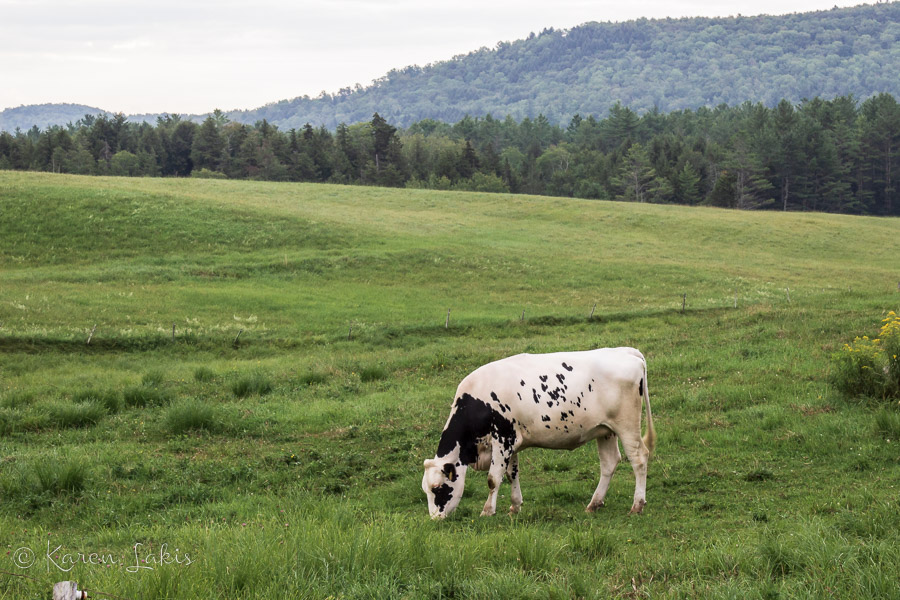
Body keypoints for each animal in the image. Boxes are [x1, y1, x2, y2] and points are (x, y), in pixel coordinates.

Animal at [422, 350, 652, 516]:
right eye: (425, 490)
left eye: (437, 488)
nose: (435, 519)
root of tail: (625, 351)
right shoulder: (512, 443)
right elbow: (511, 474)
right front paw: (515, 506)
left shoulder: (503, 440)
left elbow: (493, 479)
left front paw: (487, 511)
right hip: (605, 430)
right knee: (609, 462)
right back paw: (594, 504)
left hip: (627, 425)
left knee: (639, 458)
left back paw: (637, 505)